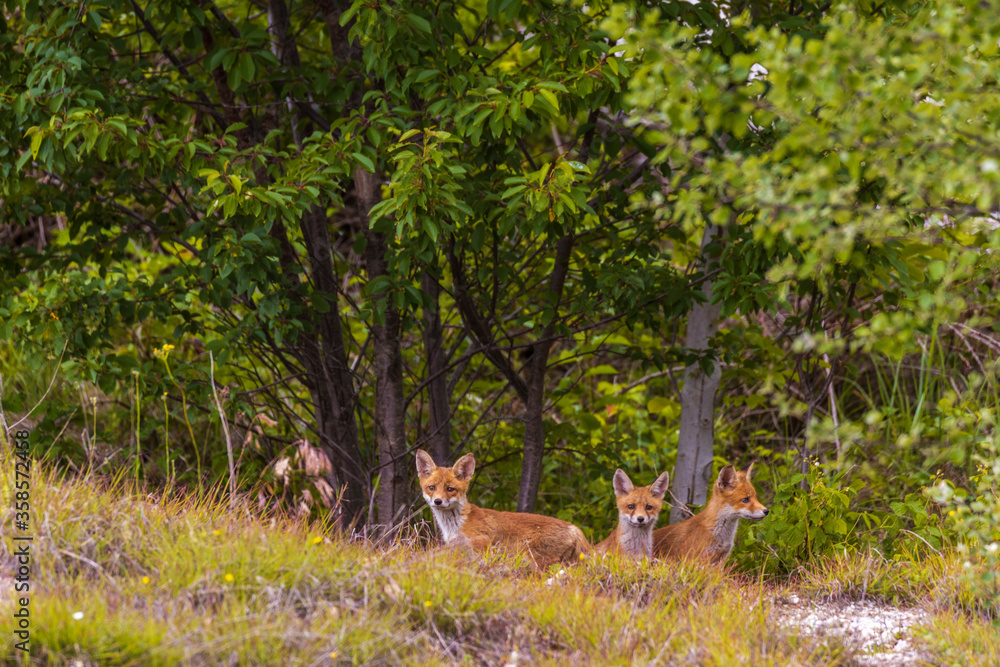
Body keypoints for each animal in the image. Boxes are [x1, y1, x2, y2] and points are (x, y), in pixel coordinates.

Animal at [414, 449, 591, 569]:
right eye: (432, 487)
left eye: (450, 489)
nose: (438, 501)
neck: (455, 525)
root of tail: (574, 528)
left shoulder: (483, 544)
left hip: (538, 562)